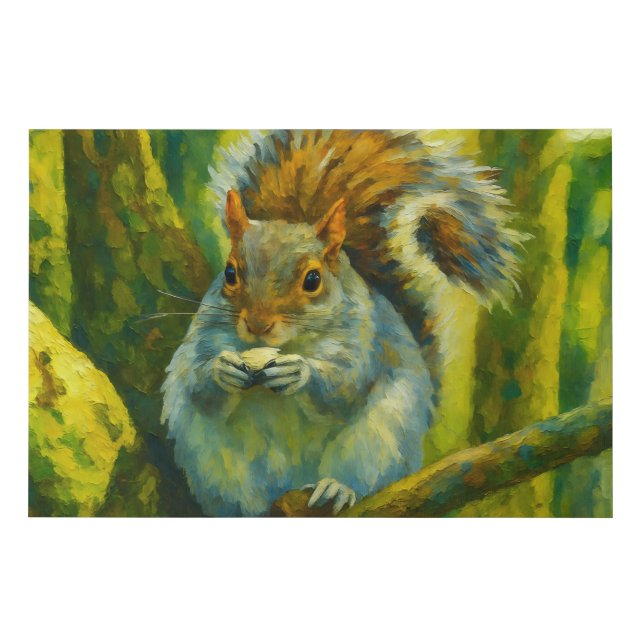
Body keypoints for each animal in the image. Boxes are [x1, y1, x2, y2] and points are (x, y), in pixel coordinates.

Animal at [161, 130, 524, 516]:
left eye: (313, 280)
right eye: (230, 273)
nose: (258, 326)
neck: (289, 343)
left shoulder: (365, 339)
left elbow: (345, 386)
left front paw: (300, 372)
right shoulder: (206, 333)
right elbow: (199, 386)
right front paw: (223, 369)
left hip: (380, 441)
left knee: (361, 475)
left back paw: (335, 488)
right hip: (217, 467)